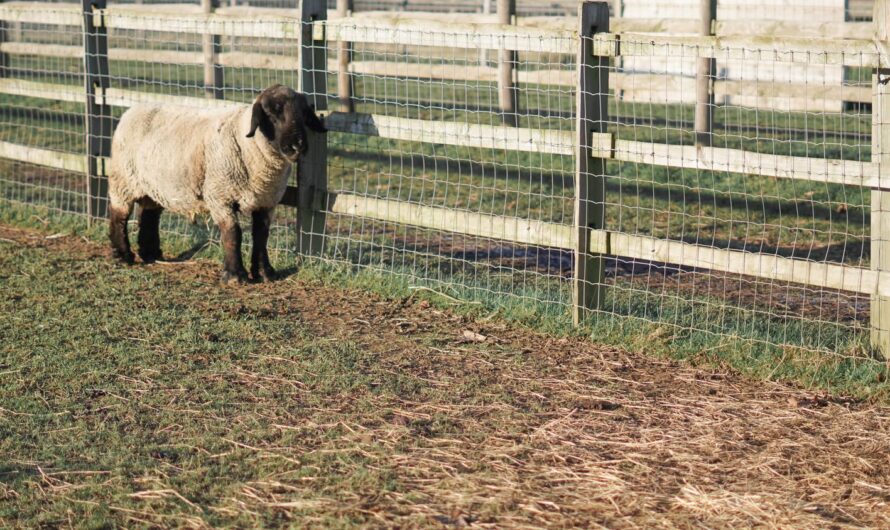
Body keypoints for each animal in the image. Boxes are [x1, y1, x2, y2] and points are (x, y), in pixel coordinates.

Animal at [107, 84, 326, 284]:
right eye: (271, 114)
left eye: (303, 115)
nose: (297, 147)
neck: (248, 144)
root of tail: (131, 111)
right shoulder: (220, 196)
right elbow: (233, 234)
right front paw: (235, 275)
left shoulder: (267, 201)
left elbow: (261, 235)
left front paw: (265, 273)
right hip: (123, 180)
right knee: (119, 215)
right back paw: (122, 256)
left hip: (153, 185)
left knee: (149, 214)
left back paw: (151, 254)